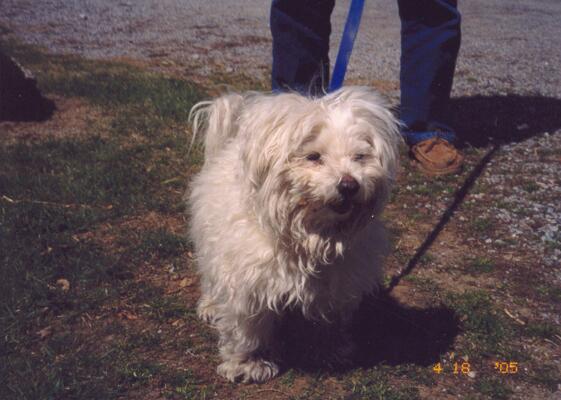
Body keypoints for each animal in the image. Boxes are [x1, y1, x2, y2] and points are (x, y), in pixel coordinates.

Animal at [186, 87, 401, 383]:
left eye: (360, 157)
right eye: (314, 157)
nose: (349, 185)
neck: (308, 239)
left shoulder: (336, 285)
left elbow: (329, 323)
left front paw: (329, 350)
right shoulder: (248, 284)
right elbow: (248, 330)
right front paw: (248, 364)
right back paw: (210, 305)